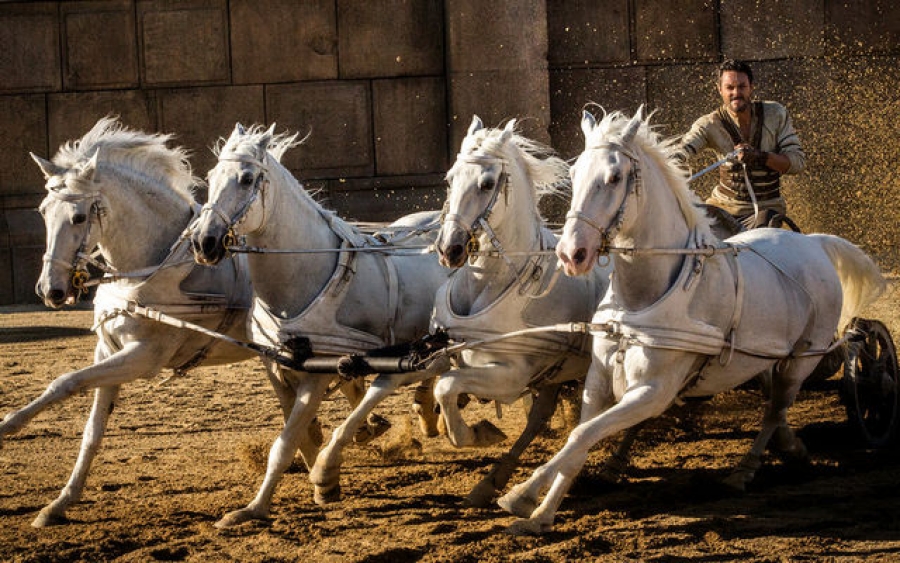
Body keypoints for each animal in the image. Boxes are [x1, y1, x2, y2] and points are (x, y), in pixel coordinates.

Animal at [3, 119, 256, 528]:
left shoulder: (143, 357)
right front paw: (60, 502)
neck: (152, 267)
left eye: (78, 217)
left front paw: (8, 425)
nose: (49, 290)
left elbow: (66, 382)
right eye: (42, 211)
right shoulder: (107, 349)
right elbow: (92, 429)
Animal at [190, 124, 450, 528]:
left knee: (409, 374)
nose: (204, 241)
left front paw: (266, 504)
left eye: (247, 178)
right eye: (211, 176)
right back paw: (417, 413)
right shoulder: (276, 366)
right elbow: (299, 436)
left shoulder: (318, 369)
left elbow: (284, 443)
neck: (306, 274)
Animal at [430, 117, 608, 504]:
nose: (449, 249)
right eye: (450, 178)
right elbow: (437, 381)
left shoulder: (511, 376)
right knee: (540, 415)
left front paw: (475, 433)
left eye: (487, 183)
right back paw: (491, 482)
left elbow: (447, 387)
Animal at [500, 108, 884, 536]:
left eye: (614, 177)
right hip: (765, 359)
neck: (641, 298)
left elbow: (584, 434)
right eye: (576, 172)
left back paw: (745, 471)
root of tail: (814, 242)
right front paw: (540, 513)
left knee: (775, 410)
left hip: (800, 360)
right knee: (773, 405)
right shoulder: (598, 381)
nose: (571, 253)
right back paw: (788, 451)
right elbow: (577, 441)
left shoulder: (654, 391)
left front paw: (520, 493)